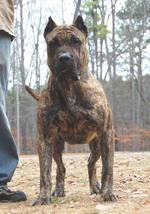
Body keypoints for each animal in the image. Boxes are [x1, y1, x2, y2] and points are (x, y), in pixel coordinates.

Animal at [26, 15, 117, 206]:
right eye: (53, 43)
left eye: (76, 41)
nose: (64, 57)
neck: (69, 85)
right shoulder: (44, 137)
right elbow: (44, 173)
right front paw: (43, 197)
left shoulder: (106, 133)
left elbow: (107, 168)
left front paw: (107, 193)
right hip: (56, 145)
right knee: (61, 168)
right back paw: (59, 190)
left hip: (96, 145)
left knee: (91, 163)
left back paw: (96, 188)